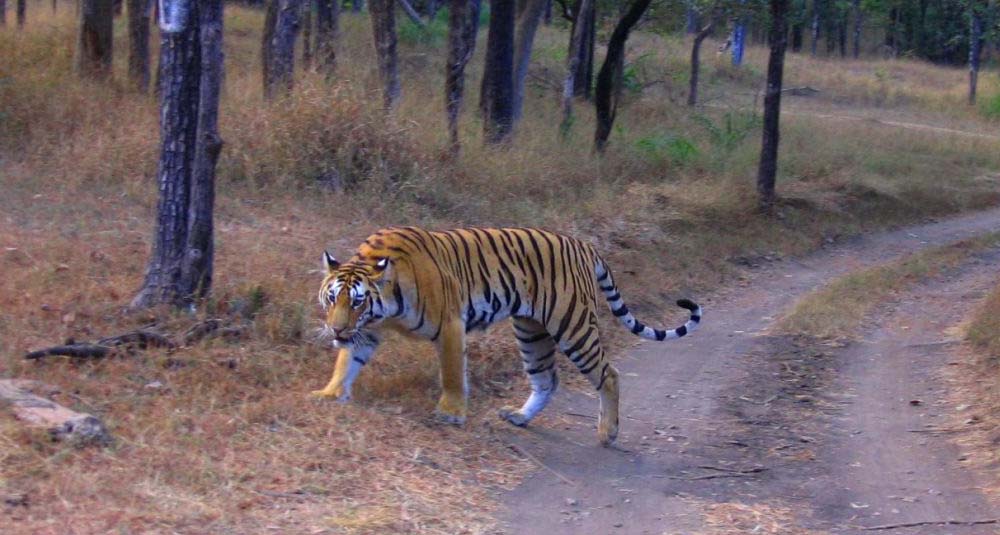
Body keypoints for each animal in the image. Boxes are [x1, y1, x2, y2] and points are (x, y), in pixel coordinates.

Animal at [312, 226, 701, 446]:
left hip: (573, 325)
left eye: (357, 302)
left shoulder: (450, 324)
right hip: (531, 331)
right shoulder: (366, 333)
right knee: (547, 379)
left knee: (609, 374)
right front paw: (330, 393)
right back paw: (520, 417)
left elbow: (452, 373)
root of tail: (583, 245)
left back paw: (608, 433)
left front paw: (451, 412)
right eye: (332, 299)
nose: (336, 329)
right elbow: (346, 363)